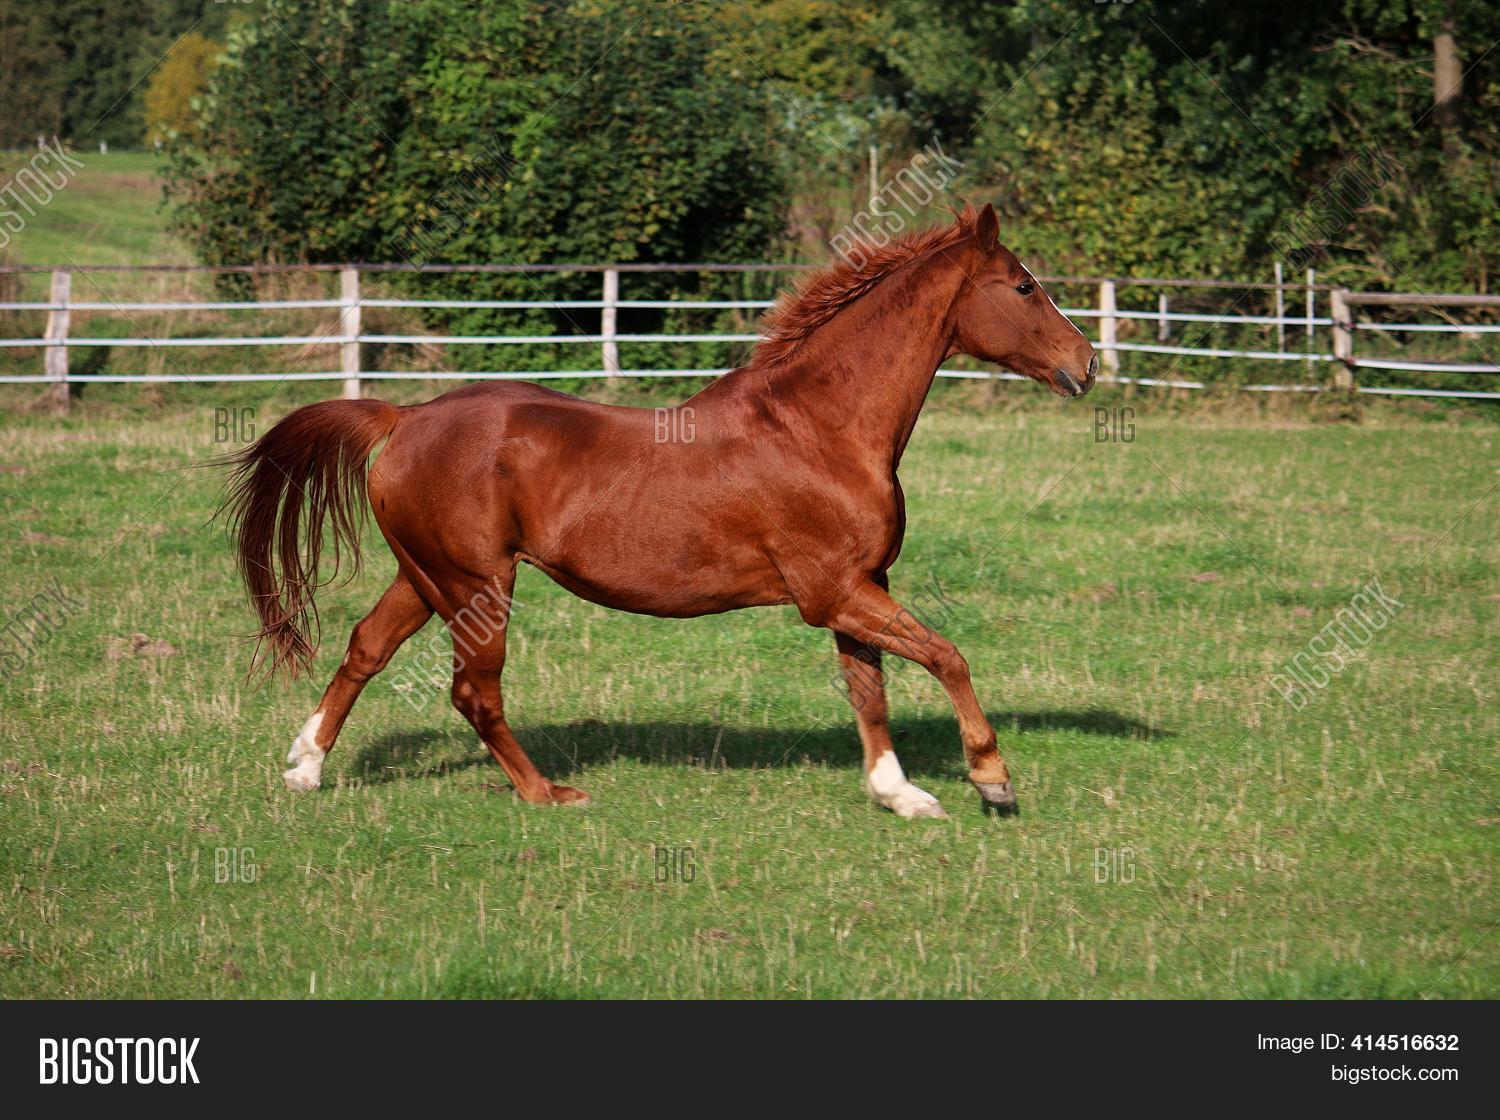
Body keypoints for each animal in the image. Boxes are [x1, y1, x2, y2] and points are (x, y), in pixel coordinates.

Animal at [223, 203, 1096, 818]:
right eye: (1025, 286)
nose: (1087, 363)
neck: (820, 427)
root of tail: (403, 419)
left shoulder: (861, 586)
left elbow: (869, 689)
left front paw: (900, 794)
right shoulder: (832, 592)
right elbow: (946, 656)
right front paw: (992, 780)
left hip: (428, 576)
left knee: (367, 648)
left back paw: (305, 767)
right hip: (478, 586)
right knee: (473, 692)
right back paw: (548, 794)